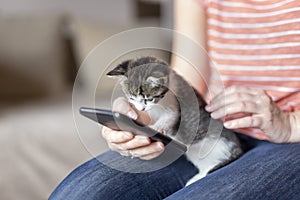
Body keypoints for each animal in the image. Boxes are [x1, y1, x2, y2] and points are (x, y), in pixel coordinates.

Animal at [106, 56, 243, 186]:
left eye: (148, 99)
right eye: (132, 98)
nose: (141, 108)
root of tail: (238, 148)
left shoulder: (174, 107)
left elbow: (169, 117)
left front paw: (155, 128)